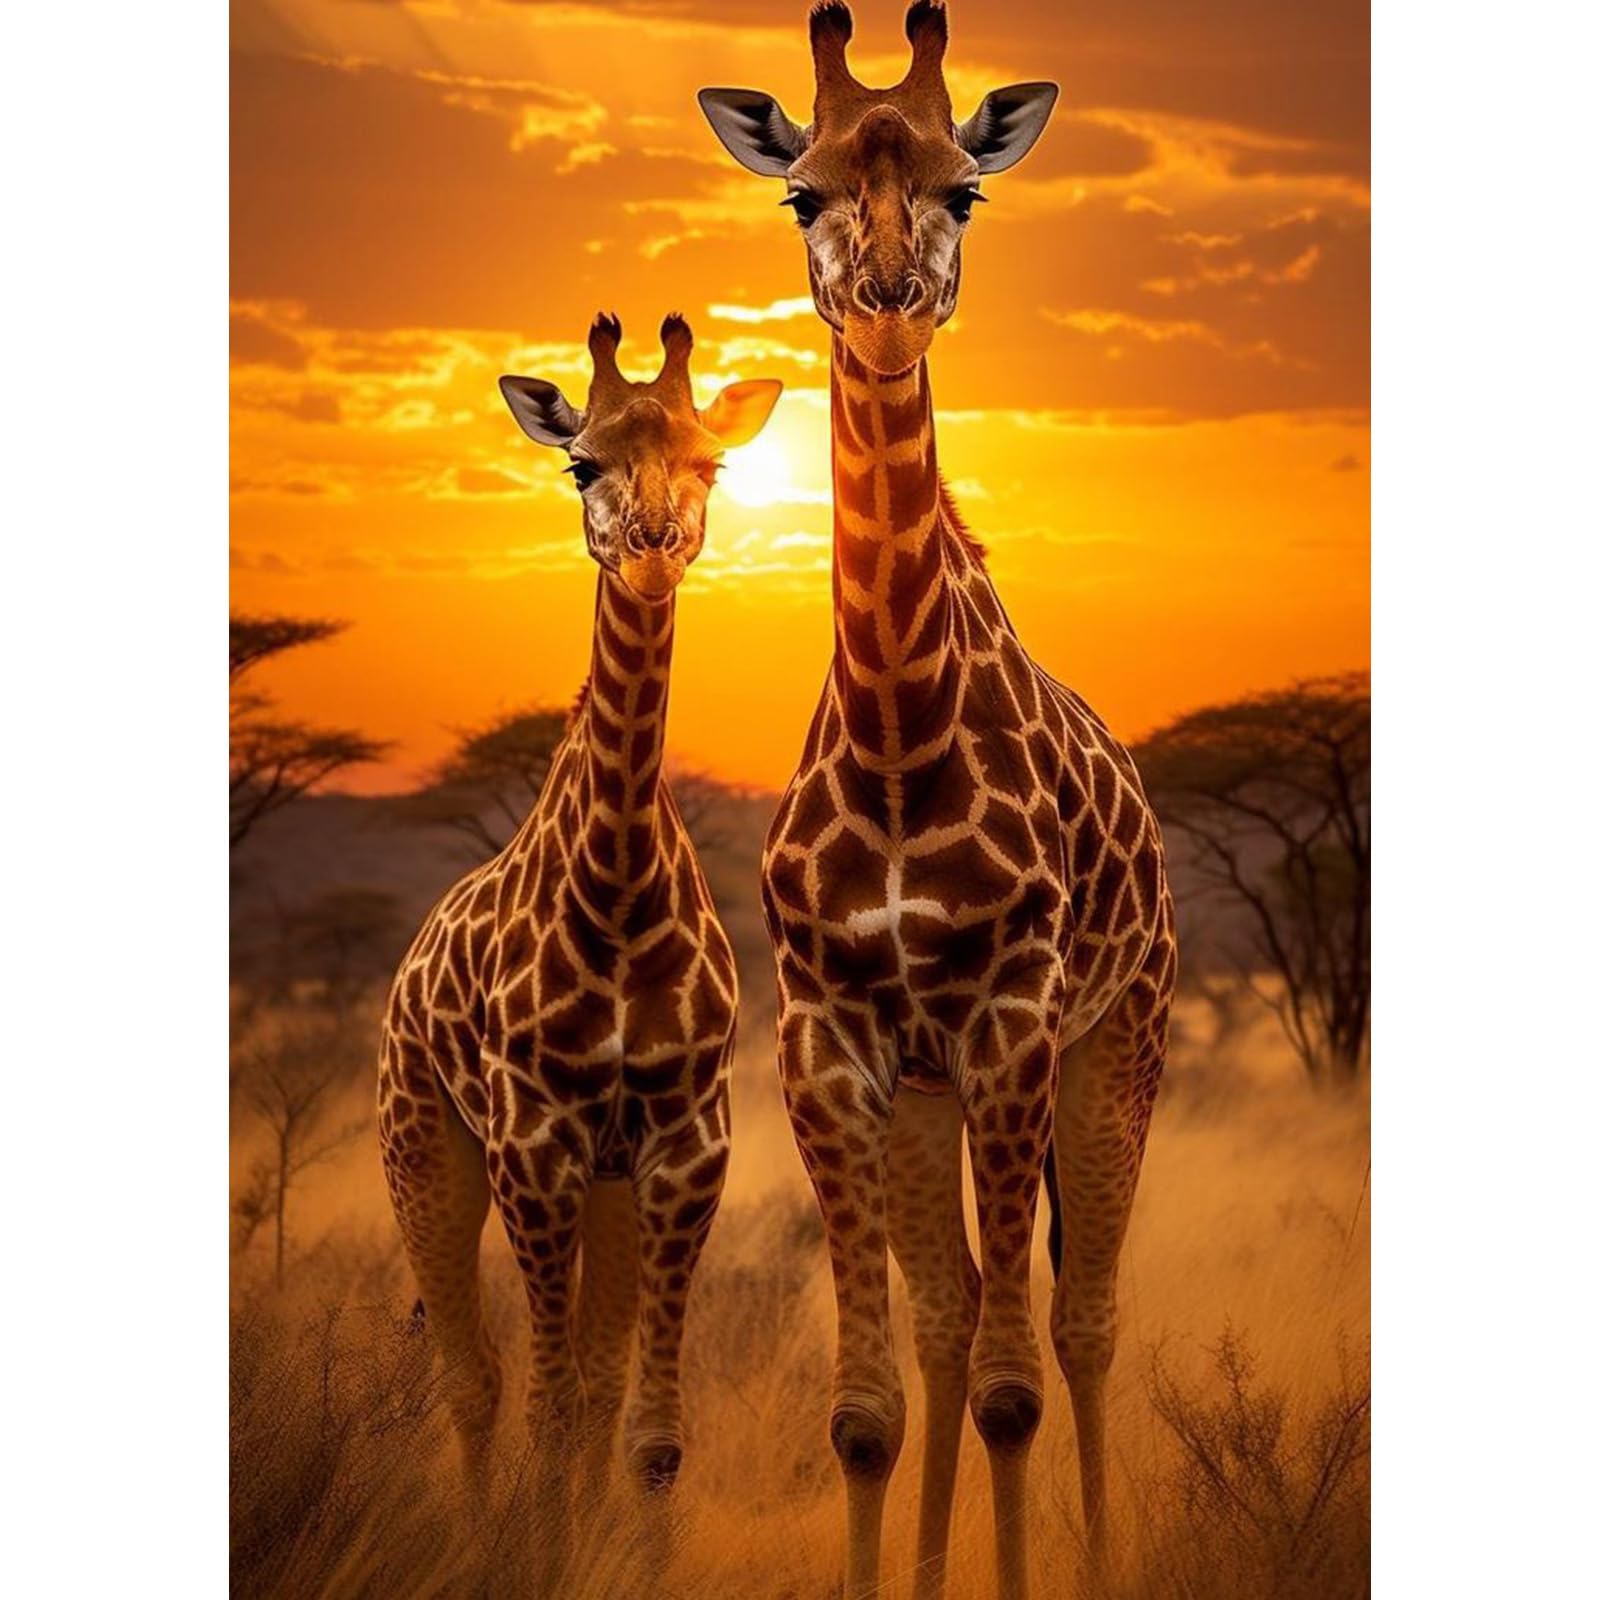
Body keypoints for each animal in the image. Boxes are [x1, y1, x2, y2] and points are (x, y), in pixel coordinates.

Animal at [376, 312, 781, 1575]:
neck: (616, 893)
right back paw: (472, 1537)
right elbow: (549, 1409)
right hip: (422, 1146)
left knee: (586, 1391)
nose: (651, 548)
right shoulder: (531, 1142)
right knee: (471, 1379)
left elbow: (643, 1429)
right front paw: (536, 1561)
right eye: (580, 465)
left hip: (605, 1181)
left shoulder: (685, 1143)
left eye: (710, 465)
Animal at [700, 6, 1176, 1597]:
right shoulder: (829, 1047)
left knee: (1081, 1322)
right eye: (801, 195)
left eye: (966, 190)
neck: (901, 734)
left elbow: (1018, 1389)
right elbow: (868, 1408)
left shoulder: (1016, 1026)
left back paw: (1101, 1559)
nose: (892, 303)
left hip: (1123, 1043)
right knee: (959, 1310)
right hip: (925, 1088)